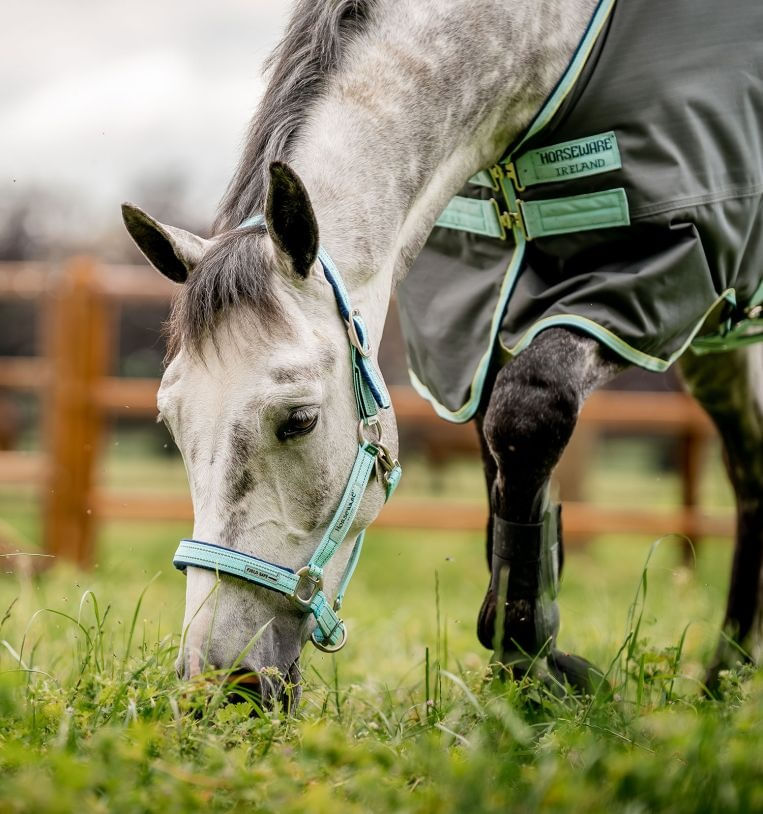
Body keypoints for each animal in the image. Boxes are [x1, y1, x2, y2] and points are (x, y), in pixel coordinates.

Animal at [122, 0, 760, 708]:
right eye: (171, 424)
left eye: (299, 420)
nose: (220, 684)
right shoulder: (476, 320)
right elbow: (501, 459)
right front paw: (527, 664)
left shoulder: (663, 268)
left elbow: (528, 414)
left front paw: (529, 650)